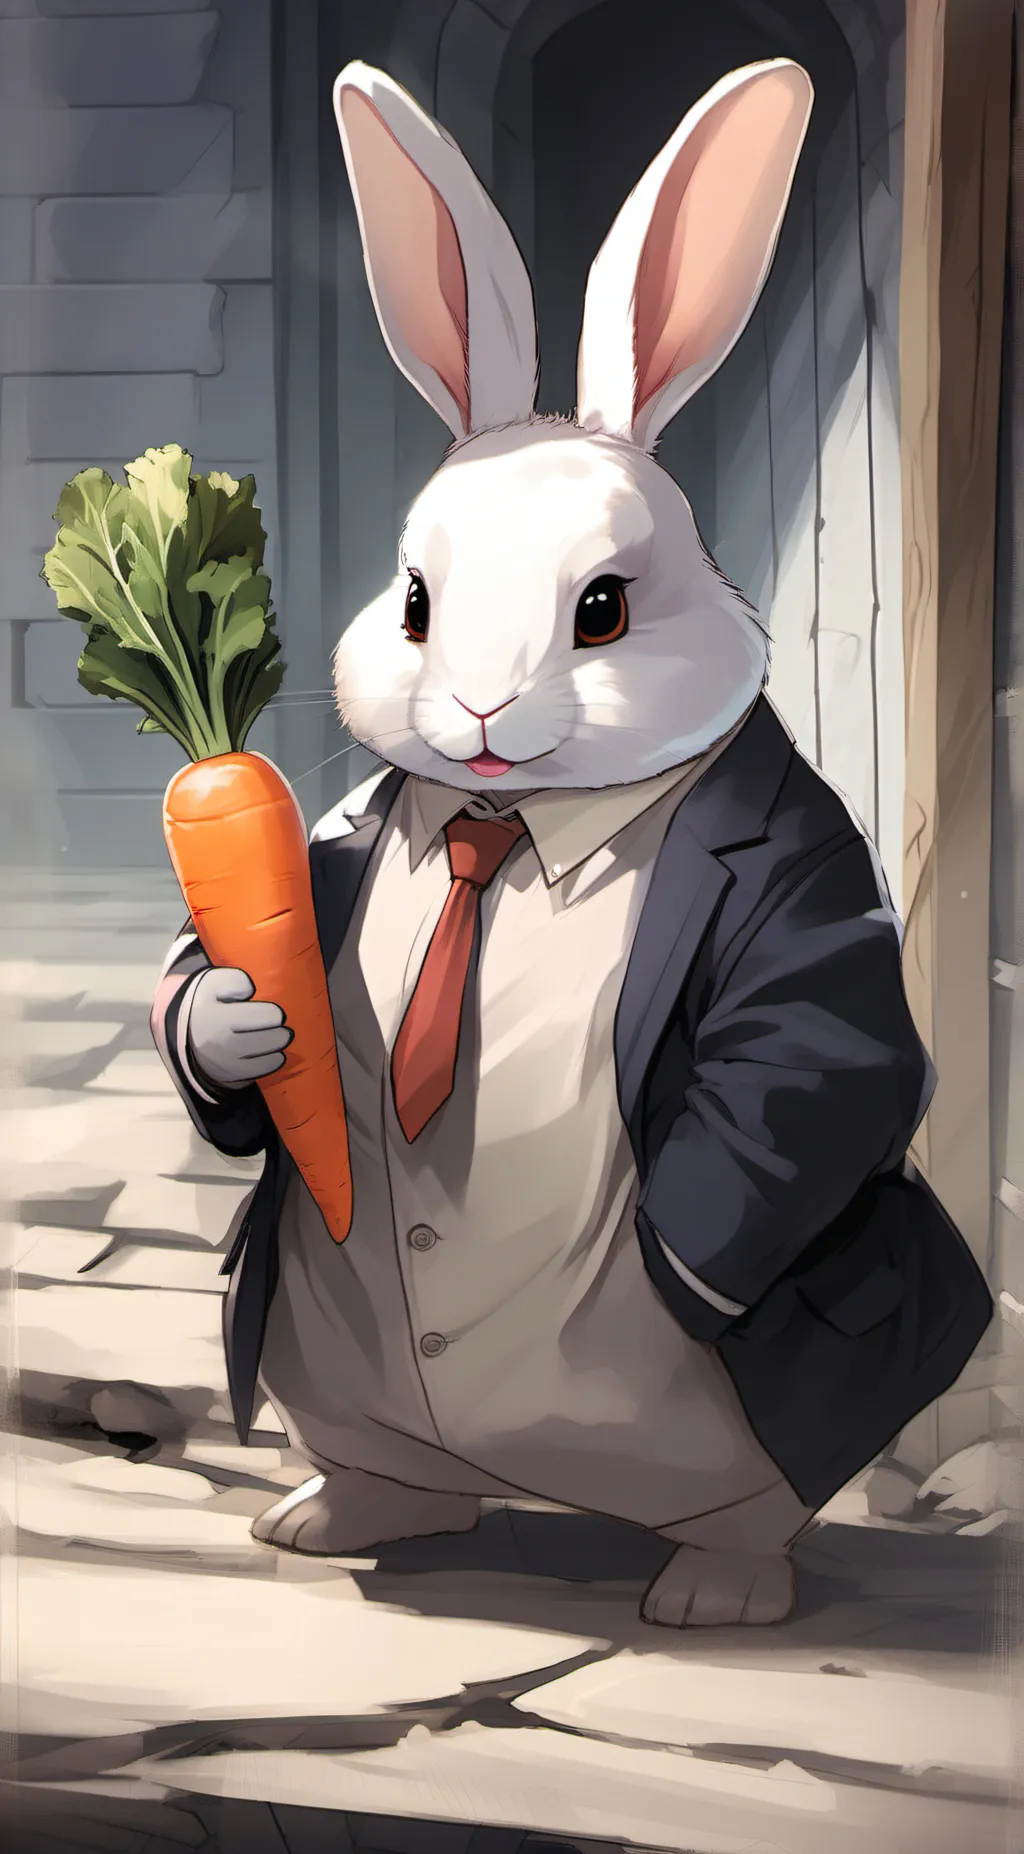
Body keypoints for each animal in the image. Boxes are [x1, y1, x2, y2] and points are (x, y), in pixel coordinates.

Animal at [153, 58, 992, 1632]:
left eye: (603, 608)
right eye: (414, 602)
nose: (481, 713)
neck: (505, 823)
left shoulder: (805, 899)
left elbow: (816, 1052)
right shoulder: (337, 850)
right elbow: (203, 979)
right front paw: (238, 1026)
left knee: (756, 1495)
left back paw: (714, 1590)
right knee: (390, 1456)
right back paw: (334, 1512)